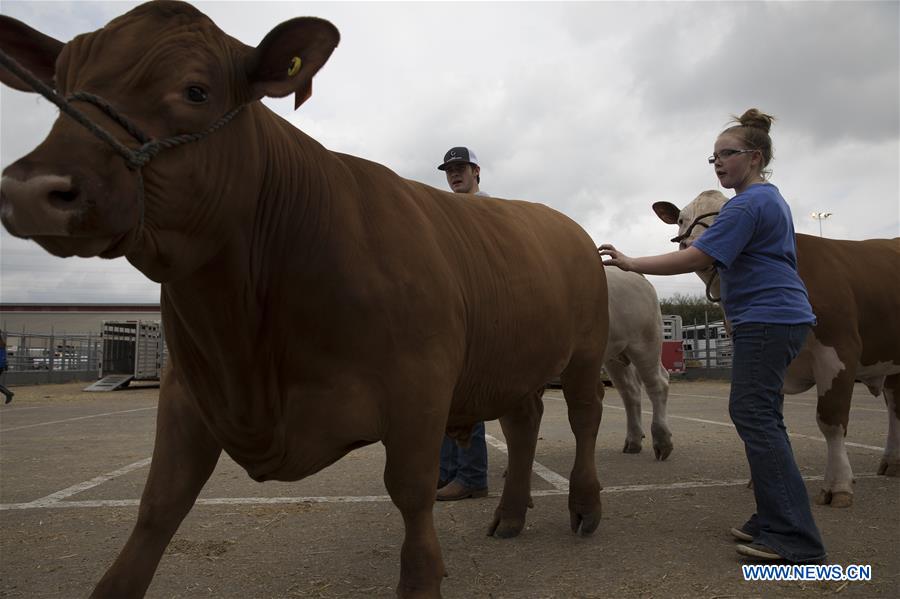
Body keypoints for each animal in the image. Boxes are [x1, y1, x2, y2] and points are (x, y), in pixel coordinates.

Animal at [0, 2, 608, 596]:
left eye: (196, 90)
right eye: (57, 88)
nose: (31, 190)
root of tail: (567, 225)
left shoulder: (420, 386)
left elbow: (411, 494)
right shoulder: (187, 391)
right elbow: (158, 506)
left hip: (584, 353)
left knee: (584, 418)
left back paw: (585, 507)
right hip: (512, 363)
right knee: (524, 421)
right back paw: (511, 514)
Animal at [652, 191, 900, 506]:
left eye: (732, 215)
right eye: (682, 219)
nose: (698, 246)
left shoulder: (839, 351)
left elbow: (831, 421)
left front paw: (838, 485)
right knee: (895, 405)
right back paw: (892, 461)